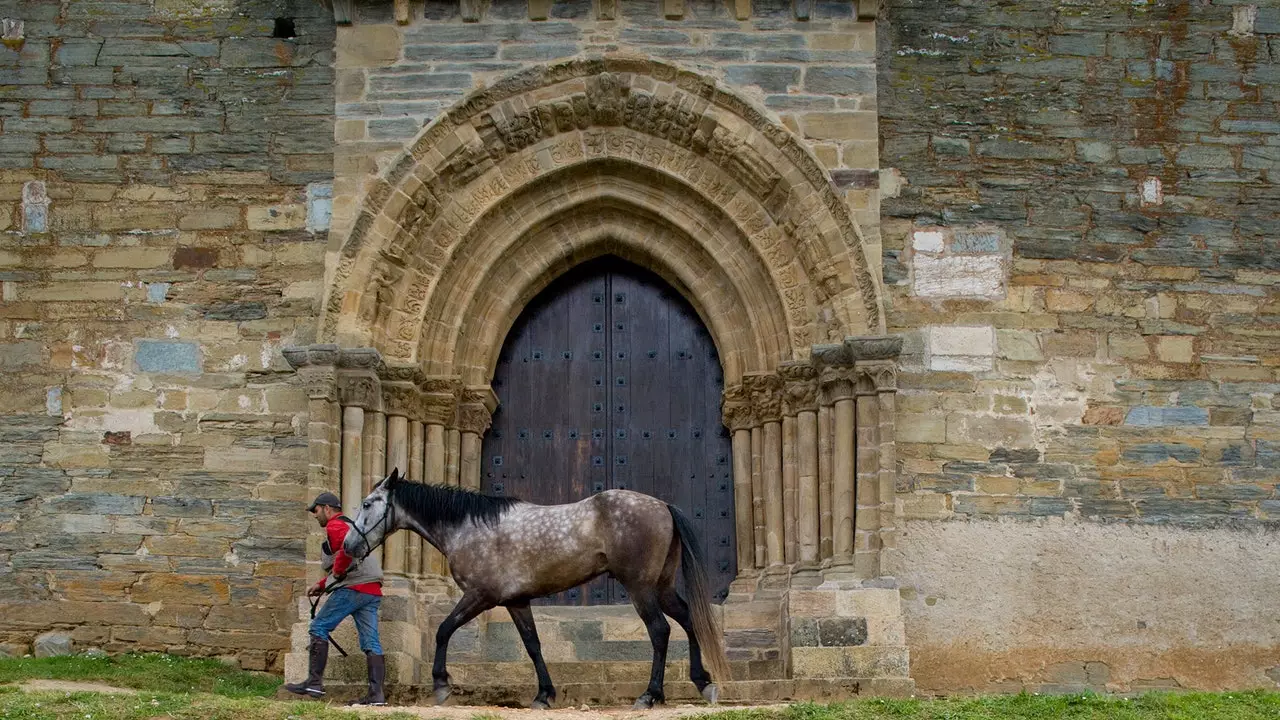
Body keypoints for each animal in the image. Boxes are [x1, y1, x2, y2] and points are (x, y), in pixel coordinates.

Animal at [345, 466, 737, 707]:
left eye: (367, 503)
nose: (348, 546)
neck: (470, 527)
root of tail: (663, 506)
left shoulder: (480, 597)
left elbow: (443, 629)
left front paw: (441, 685)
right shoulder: (517, 602)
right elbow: (533, 645)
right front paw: (544, 695)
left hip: (641, 588)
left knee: (660, 631)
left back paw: (650, 695)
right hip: (662, 587)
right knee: (688, 620)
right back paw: (703, 682)